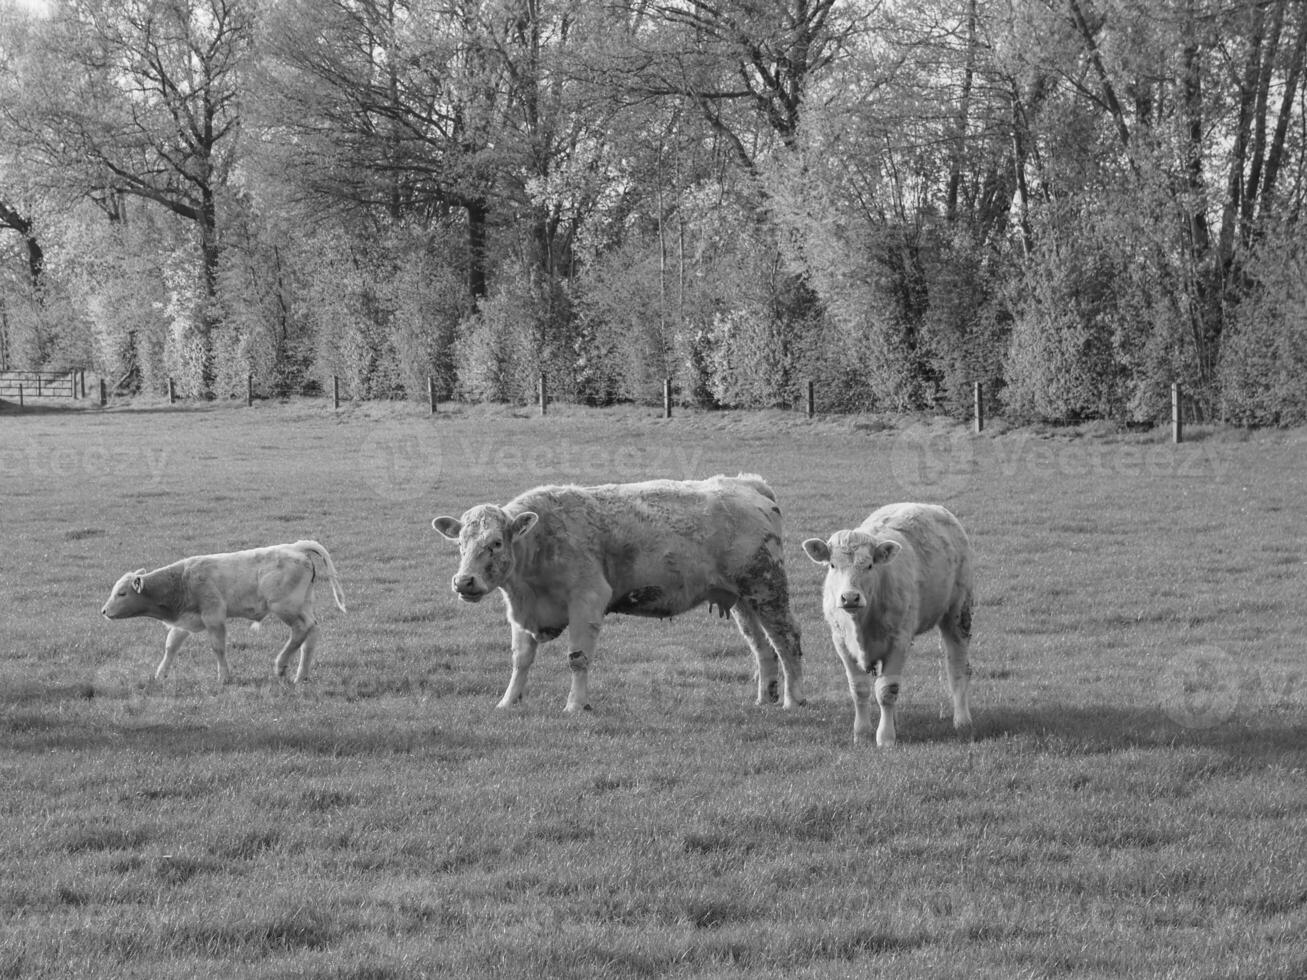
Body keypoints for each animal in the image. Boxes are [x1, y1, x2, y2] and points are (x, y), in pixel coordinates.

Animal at [100, 540, 347, 684]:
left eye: (122, 593)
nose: (103, 611)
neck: (182, 581)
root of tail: (296, 547)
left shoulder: (214, 616)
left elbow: (218, 647)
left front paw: (224, 676)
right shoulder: (185, 622)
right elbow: (171, 647)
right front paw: (160, 675)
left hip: (285, 606)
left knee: (301, 630)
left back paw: (280, 666)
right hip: (304, 605)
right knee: (312, 633)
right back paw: (301, 675)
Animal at [433, 475, 805, 716]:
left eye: (496, 543)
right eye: (460, 543)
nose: (464, 582)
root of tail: (748, 484)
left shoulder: (587, 599)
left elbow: (578, 658)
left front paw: (575, 705)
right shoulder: (523, 610)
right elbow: (521, 659)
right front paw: (508, 701)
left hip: (767, 588)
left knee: (787, 640)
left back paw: (793, 699)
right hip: (743, 598)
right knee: (762, 647)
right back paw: (765, 698)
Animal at [799, 501, 977, 747]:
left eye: (870, 565)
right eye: (833, 565)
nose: (850, 597)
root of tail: (929, 506)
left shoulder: (899, 641)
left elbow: (887, 690)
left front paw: (885, 737)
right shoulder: (841, 643)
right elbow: (860, 689)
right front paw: (862, 732)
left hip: (958, 613)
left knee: (958, 668)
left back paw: (962, 720)